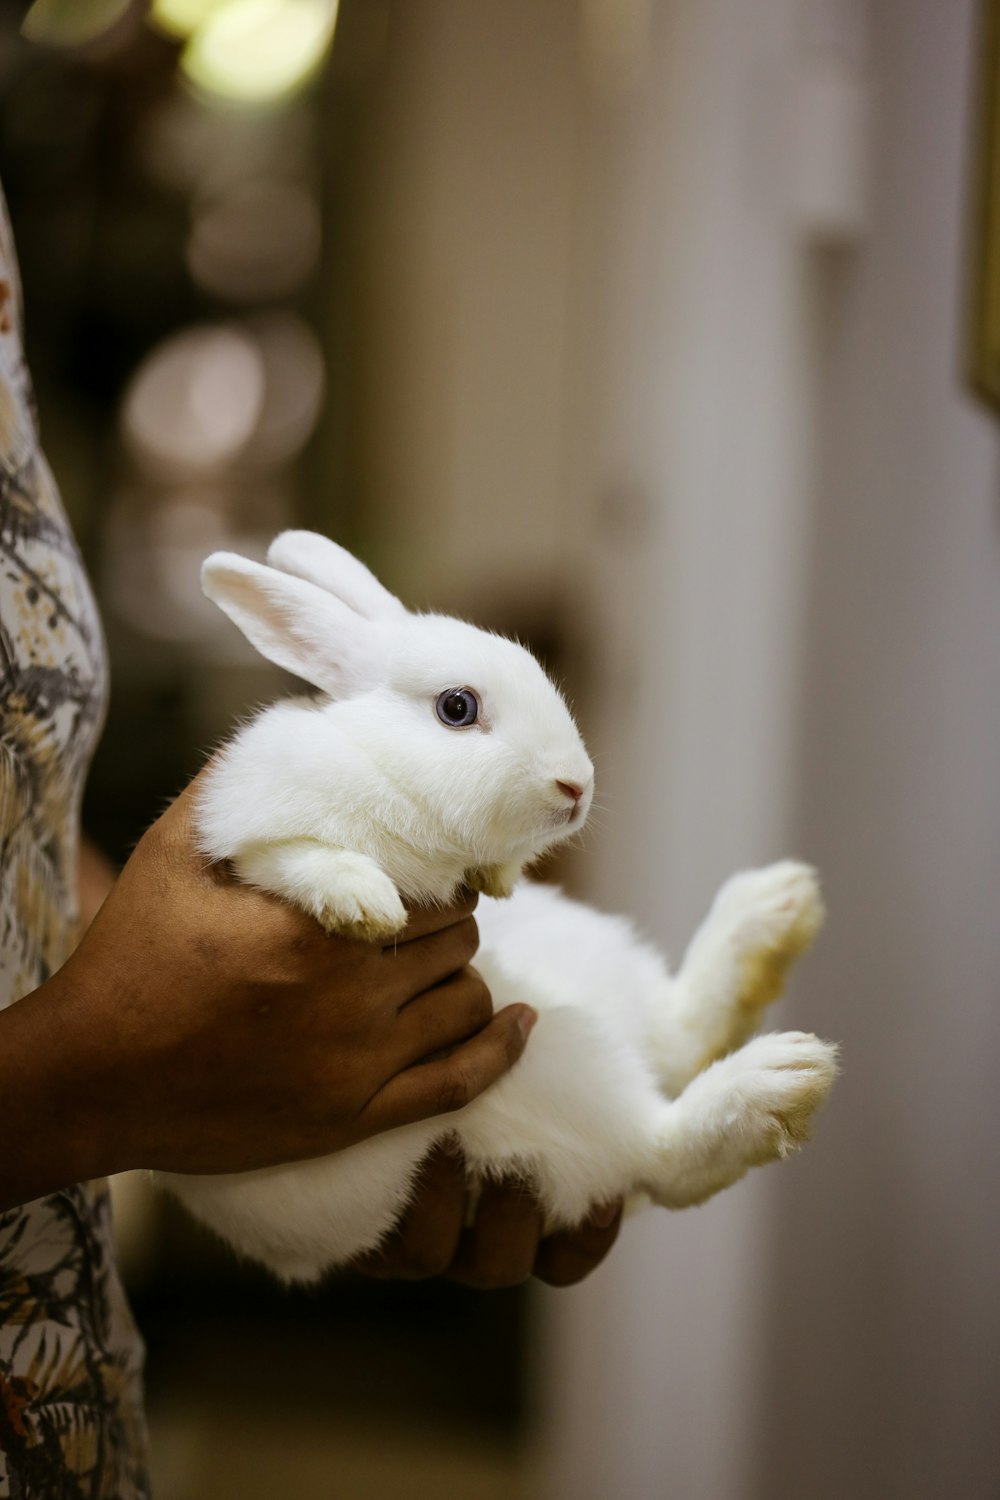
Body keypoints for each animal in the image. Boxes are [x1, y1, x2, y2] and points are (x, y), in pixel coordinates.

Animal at [164, 534, 839, 1284]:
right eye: (457, 708)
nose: (576, 786)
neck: (383, 764)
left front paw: (494, 878)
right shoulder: (254, 838)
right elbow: (298, 857)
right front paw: (366, 903)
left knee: (677, 1043)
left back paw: (775, 909)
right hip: (549, 1068)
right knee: (660, 1153)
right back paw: (777, 1078)